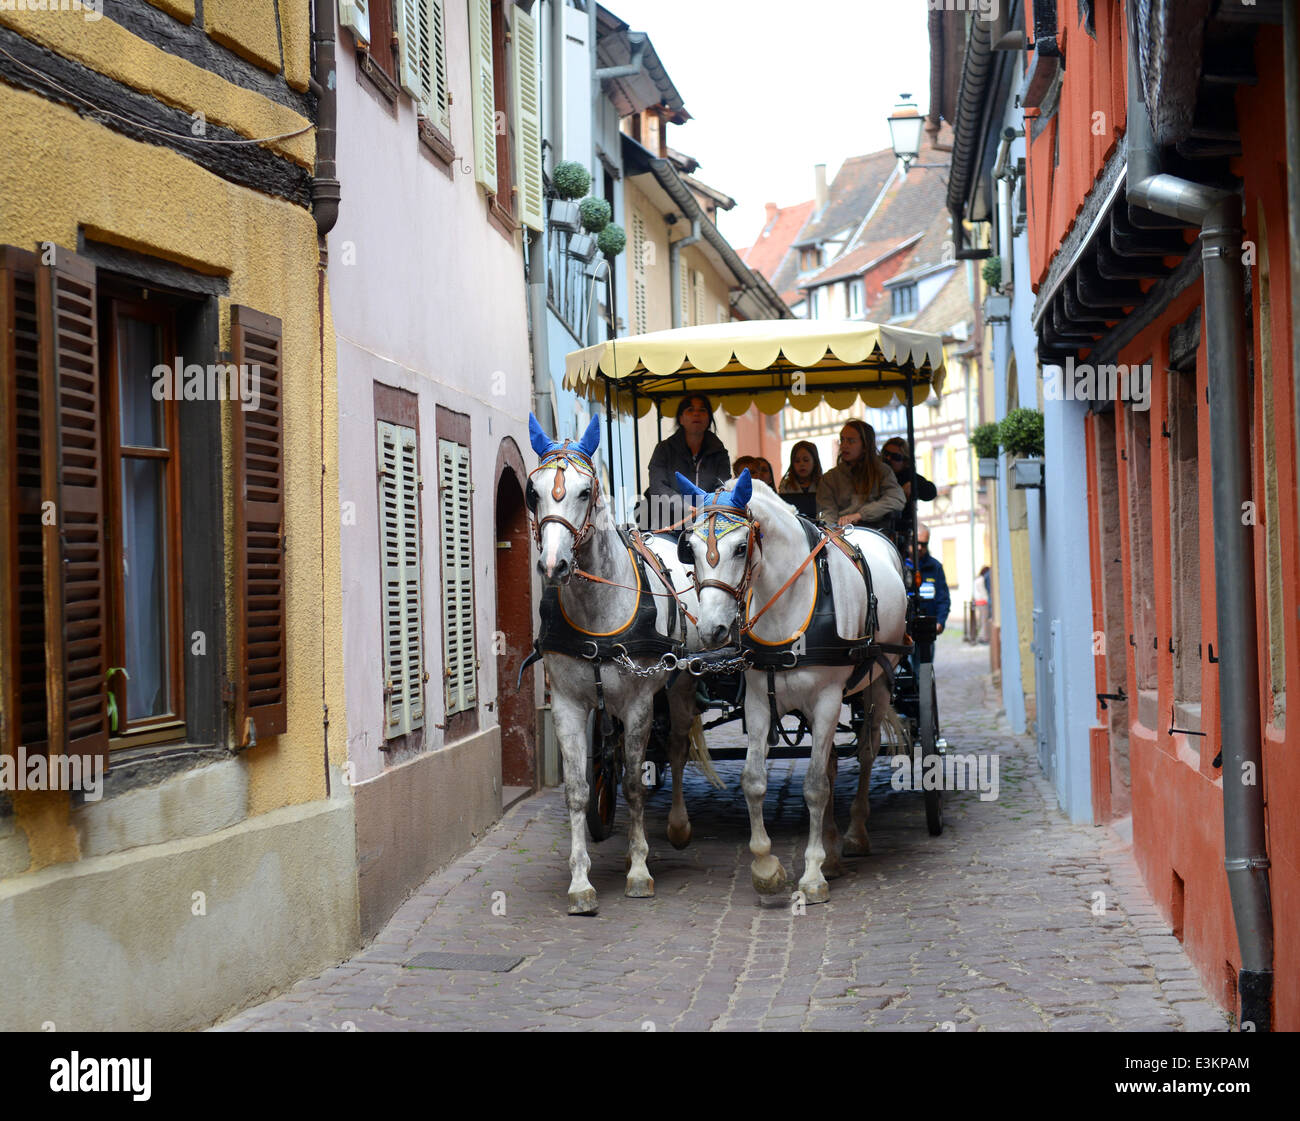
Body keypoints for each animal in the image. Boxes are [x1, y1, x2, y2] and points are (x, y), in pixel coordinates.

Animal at [525, 416, 702, 915]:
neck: (595, 610)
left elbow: (636, 786)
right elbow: (578, 789)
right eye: (532, 492)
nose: (553, 565)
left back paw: (677, 826)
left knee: (676, 747)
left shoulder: (640, 702)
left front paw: (639, 871)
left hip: (680, 685)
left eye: (586, 491)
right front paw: (580, 882)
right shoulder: (568, 704)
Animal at [681, 470, 904, 910]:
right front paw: (767, 869)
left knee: (866, 753)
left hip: (876, 685)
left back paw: (854, 835)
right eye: (691, 548)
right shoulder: (757, 702)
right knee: (832, 762)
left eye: (740, 547)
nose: (712, 630)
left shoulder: (827, 699)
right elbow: (754, 779)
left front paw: (813, 875)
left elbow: (815, 786)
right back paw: (833, 849)